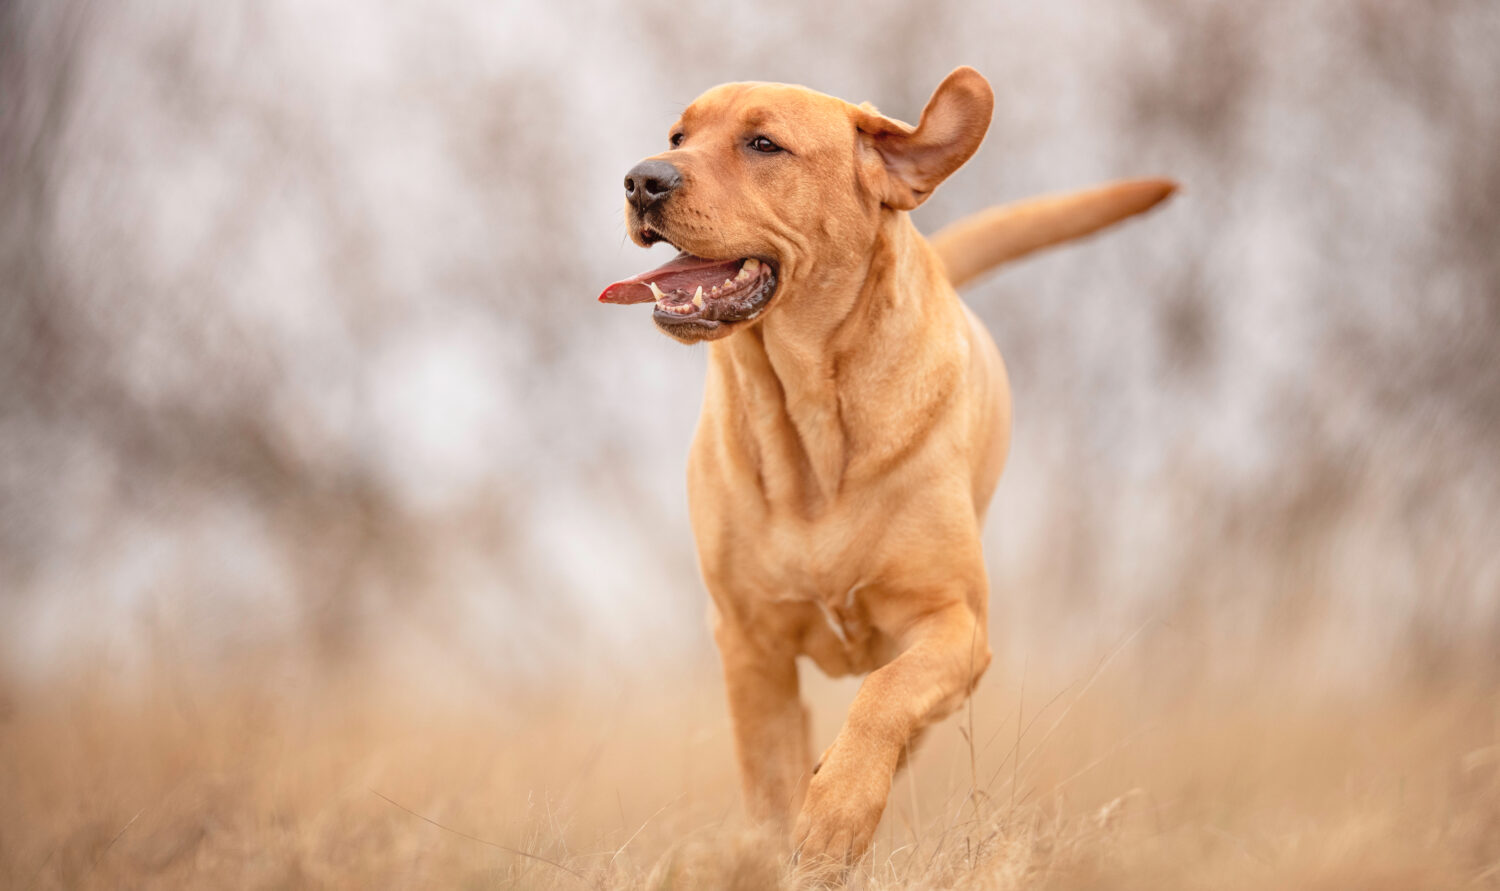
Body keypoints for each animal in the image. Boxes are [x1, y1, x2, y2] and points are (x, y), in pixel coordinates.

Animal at [597, 67, 1170, 858]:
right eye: (678, 136)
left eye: (763, 143)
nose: (641, 178)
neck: (808, 422)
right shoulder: (748, 642)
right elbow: (767, 771)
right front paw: (783, 842)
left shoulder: (954, 624)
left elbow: (885, 696)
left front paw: (837, 813)